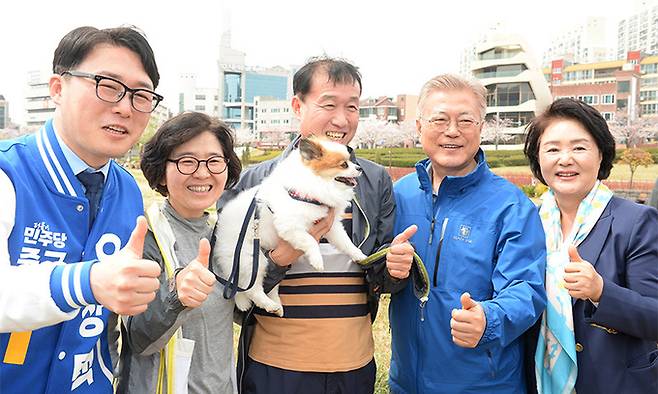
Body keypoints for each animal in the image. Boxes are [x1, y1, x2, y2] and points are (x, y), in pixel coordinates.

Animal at [211, 137, 364, 316]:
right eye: (343, 165)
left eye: (350, 161)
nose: (359, 168)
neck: (315, 186)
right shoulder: (290, 226)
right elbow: (310, 241)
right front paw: (317, 260)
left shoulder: (331, 227)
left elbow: (346, 243)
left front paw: (360, 255)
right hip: (251, 260)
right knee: (252, 290)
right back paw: (269, 305)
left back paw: (277, 305)